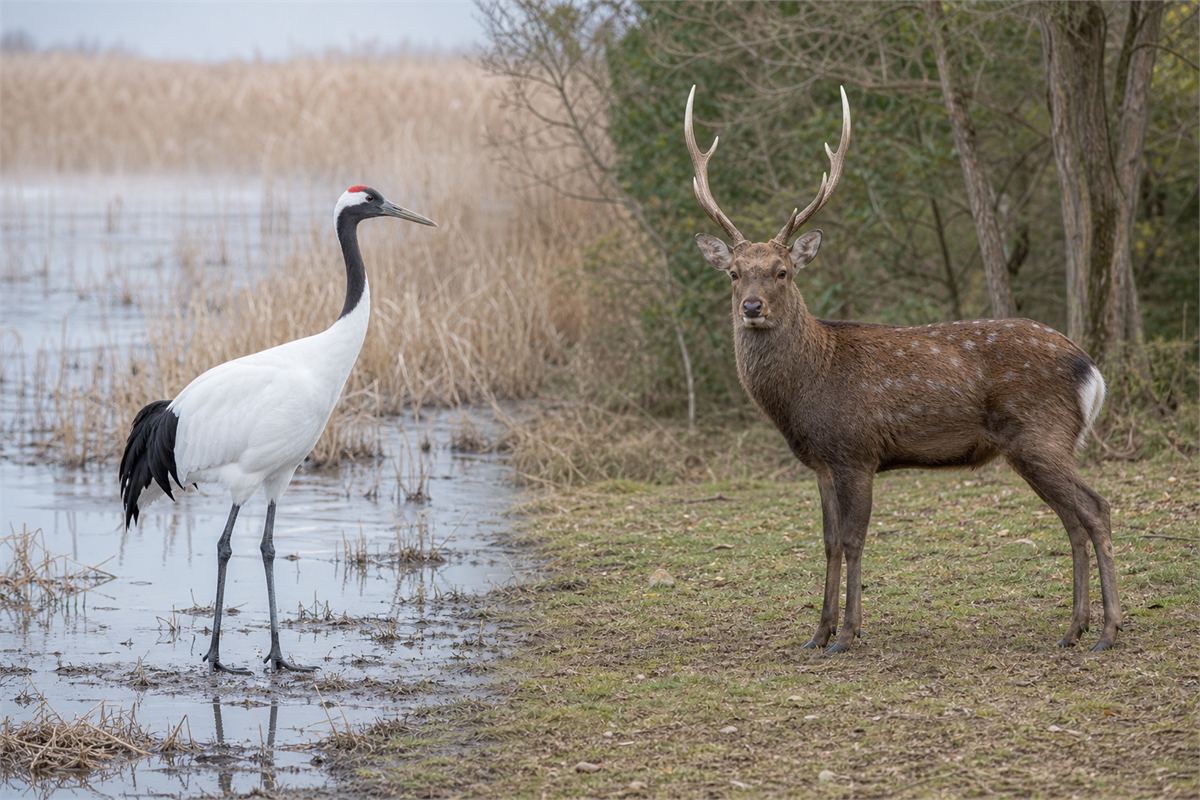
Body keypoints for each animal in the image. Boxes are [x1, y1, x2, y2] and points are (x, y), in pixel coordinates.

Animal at [684, 85, 1120, 654]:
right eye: (734, 273)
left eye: (782, 271)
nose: (751, 307)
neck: (806, 389)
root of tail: (1089, 368)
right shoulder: (822, 463)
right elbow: (828, 541)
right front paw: (817, 634)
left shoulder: (857, 450)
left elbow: (853, 540)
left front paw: (848, 633)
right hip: (1038, 446)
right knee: (1072, 519)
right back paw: (1074, 628)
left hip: (1041, 434)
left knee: (1095, 509)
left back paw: (1108, 630)